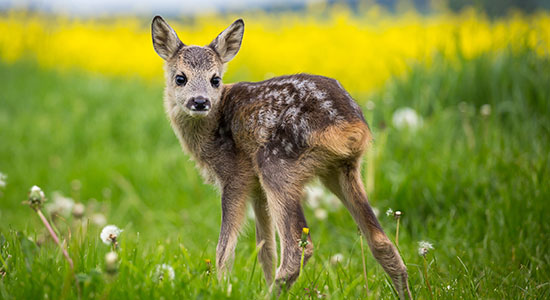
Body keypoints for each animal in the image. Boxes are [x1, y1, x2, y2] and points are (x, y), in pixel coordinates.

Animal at [153, 16, 412, 298]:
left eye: (215, 79)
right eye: (180, 78)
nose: (200, 102)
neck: (212, 129)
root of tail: (349, 126)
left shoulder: (235, 175)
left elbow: (225, 249)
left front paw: (222, 288)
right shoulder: (256, 187)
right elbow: (265, 249)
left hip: (277, 164)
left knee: (298, 247)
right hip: (342, 170)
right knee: (382, 242)